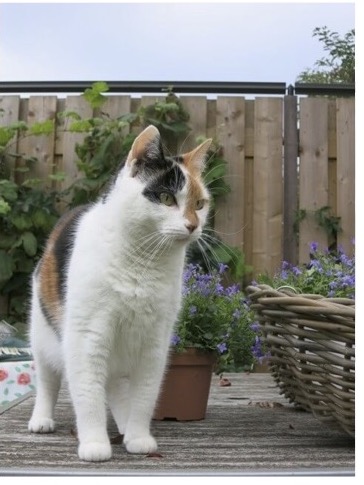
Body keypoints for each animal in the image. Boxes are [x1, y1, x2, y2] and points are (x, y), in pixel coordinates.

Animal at [28, 125, 212, 462]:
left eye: (200, 204)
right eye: (166, 197)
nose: (193, 226)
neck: (143, 264)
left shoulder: (155, 344)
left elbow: (145, 396)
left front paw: (138, 436)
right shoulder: (87, 337)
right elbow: (88, 394)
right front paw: (94, 444)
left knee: (115, 388)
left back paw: (125, 424)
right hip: (43, 335)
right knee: (48, 381)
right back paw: (41, 420)